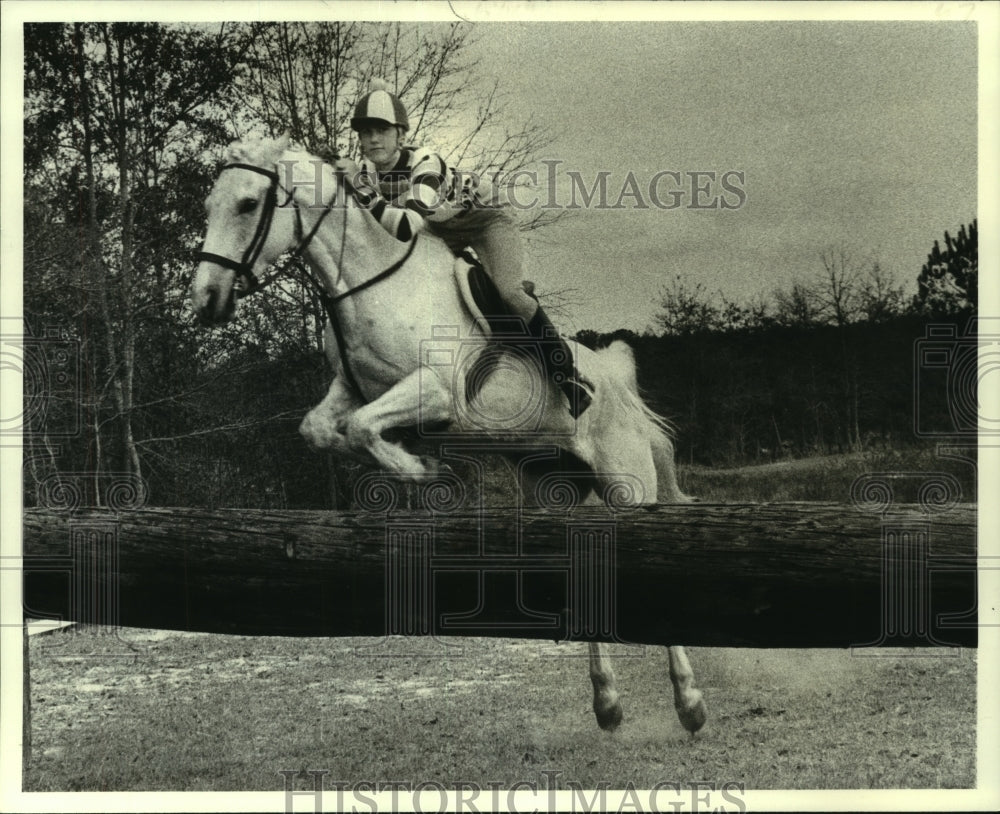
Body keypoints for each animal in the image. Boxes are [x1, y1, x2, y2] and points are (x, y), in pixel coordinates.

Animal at [186, 135, 704, 740]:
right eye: (208, 206)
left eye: (247, 205)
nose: (206, 299)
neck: (367, 283)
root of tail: (617, 380)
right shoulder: (353, 390)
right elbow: (323, 429)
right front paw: (418, 465)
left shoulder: (435, 391)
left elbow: (363, 428)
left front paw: (425, 471)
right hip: (557, 488)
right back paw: (608, 703)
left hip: (626, 486)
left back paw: (690, 703)